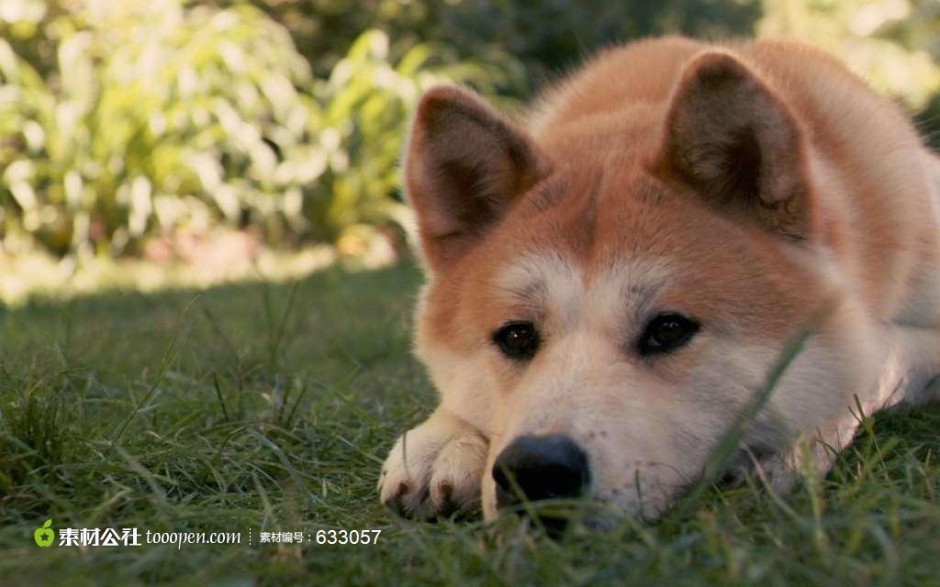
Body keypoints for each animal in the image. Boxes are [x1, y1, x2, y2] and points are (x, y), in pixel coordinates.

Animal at [376, 35, 940, 524]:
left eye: (669, 330)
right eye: (515, 336)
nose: (535, 470)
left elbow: (875, 360)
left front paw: (791, 445)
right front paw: (445, 440)